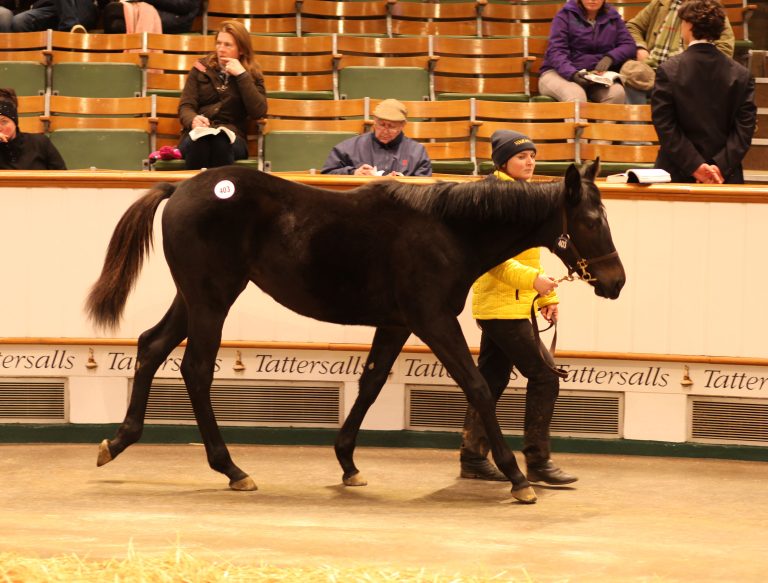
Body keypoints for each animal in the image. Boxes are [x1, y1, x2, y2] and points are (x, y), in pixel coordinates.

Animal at [87, 159, 625, 504]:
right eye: (590, 220)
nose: (616, 282)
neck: (446, 229)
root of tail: (180, 189)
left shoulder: (395, 323)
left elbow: (370, 383)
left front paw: (348, 464)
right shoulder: (433, 320)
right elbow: (475, 387)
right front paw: (517, 478)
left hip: (196, 298)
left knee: (152, 346)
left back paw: (119, 442)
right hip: (212, 299)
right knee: (196, 370)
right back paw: (232, 469)